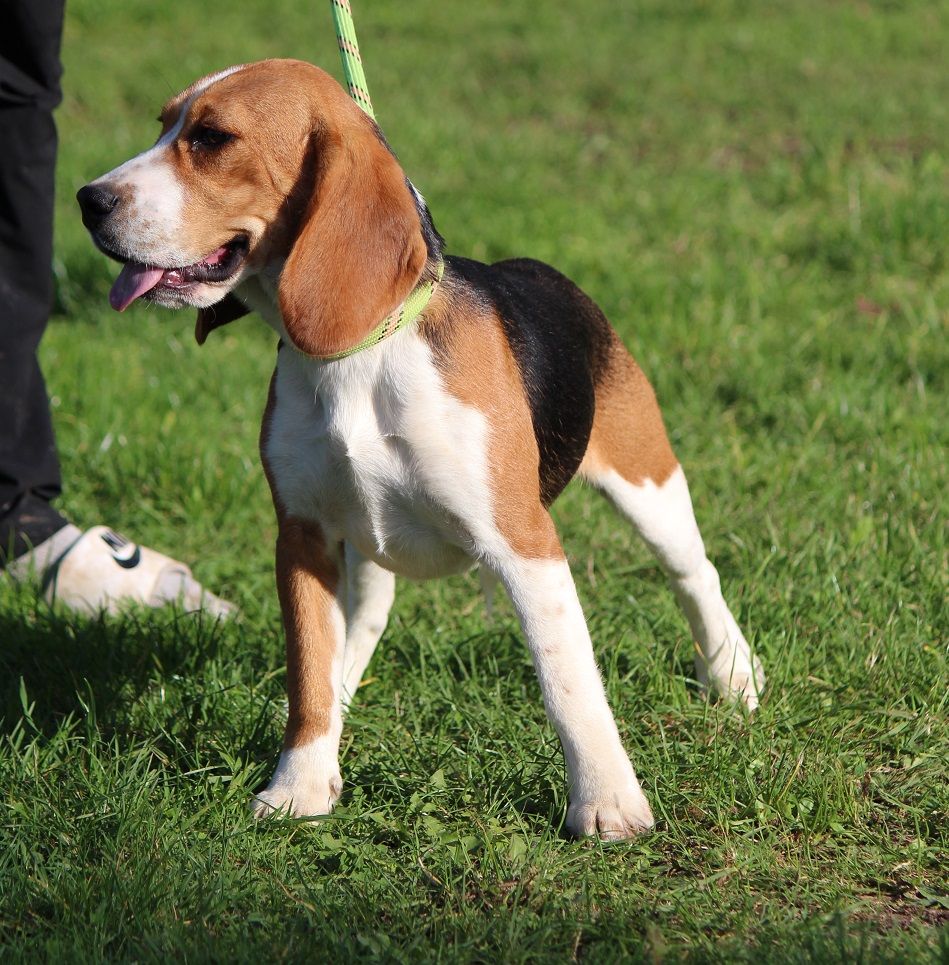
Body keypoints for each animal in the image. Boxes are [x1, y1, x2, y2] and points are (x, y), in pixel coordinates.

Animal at [79, 58, 764, 836]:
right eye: (162, 124)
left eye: (213, 138)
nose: (87, 200)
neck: (358, 357)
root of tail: (542, 271)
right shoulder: (303, 535)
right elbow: (310, 670)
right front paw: (301, 783)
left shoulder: (526, 544)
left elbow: (568, 684)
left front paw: (607, 800)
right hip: (365, 542)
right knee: (361, 625)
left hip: (647, 483)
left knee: (695, 573)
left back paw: (733, 674)